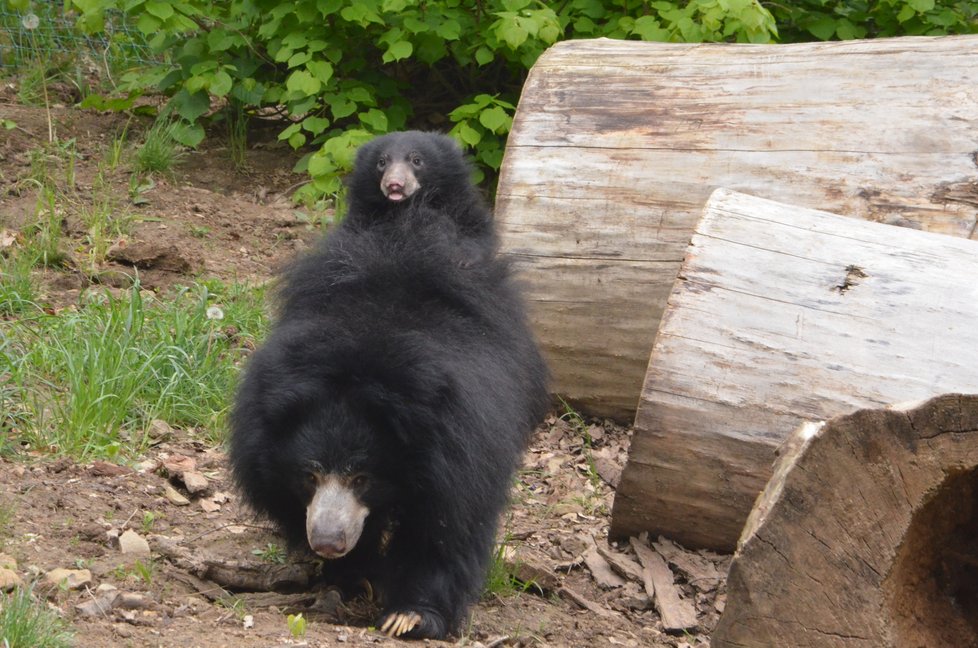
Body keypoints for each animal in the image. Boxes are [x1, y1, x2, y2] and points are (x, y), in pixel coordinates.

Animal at [230, 130, 548, 636]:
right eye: (309, 474)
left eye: (362, 476)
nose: (327, 541)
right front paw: (351, 578)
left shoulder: (463, 443)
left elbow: (449, 526)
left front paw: (409, 615)